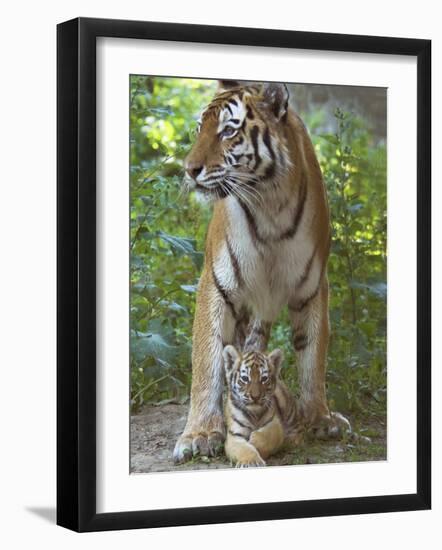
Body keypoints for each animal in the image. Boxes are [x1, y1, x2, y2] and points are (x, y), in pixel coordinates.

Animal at [173, 80, 348, 464]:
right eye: (199, 128)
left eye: (227, 130)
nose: (189, 169)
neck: (270, 204)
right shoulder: (216, 283)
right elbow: (207, 360)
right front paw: (200, 434)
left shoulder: (313, 286)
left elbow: (313, 355)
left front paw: (320, 417)